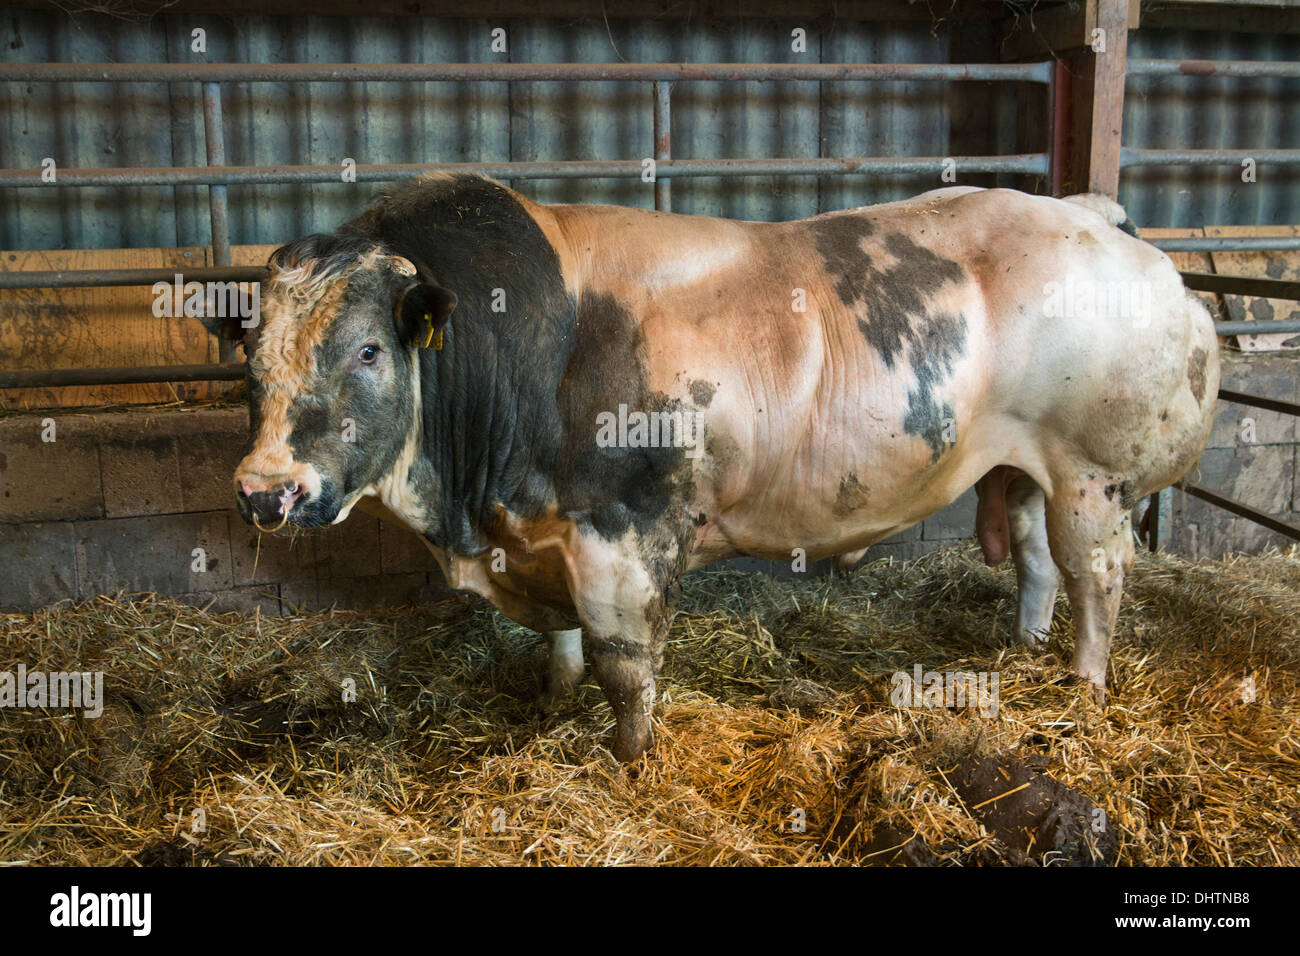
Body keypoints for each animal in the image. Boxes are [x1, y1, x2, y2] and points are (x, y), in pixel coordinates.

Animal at [199, 173, 1219, 762]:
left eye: (369, 349)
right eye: (250, 356)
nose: (264, 490)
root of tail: (1091, 216)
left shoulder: (625, 533)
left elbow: (624, 664)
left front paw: (631, 760)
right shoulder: (542, 535)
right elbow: (563, 645)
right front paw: (553, 699)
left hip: (1094, 475)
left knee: (1097, 577)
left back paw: (1083, 685)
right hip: (1022, 469)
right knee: (1038, 562)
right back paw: (1026, 648)